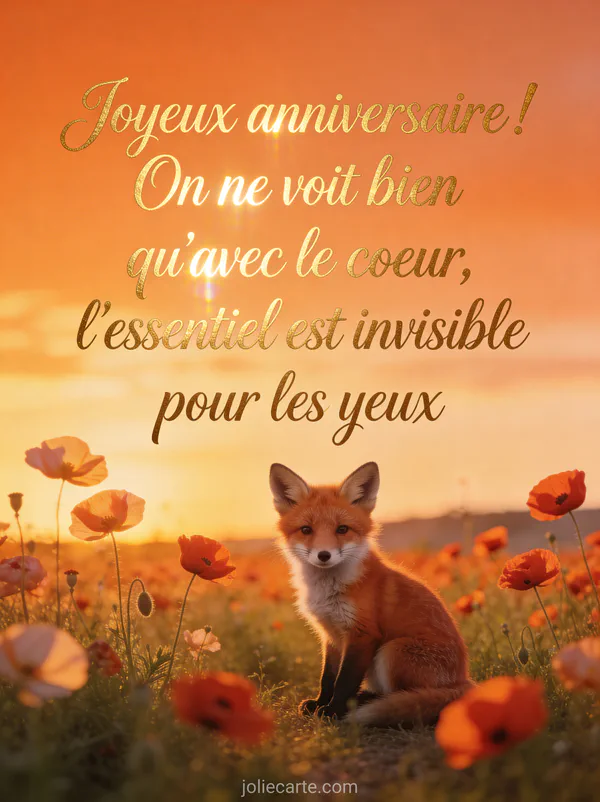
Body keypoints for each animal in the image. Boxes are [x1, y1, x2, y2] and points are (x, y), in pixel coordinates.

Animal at [270, 461, 474, 727]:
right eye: (306, 529)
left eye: (342, 529)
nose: (324, 555)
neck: (329, 591)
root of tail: (464, 681)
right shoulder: (331, 635)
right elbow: (328, 677)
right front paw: (320, 703)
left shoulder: (363, 634)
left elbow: (344, 681)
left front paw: (332, 711)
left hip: (392, 650)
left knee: (404, 695)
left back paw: (365, 702)